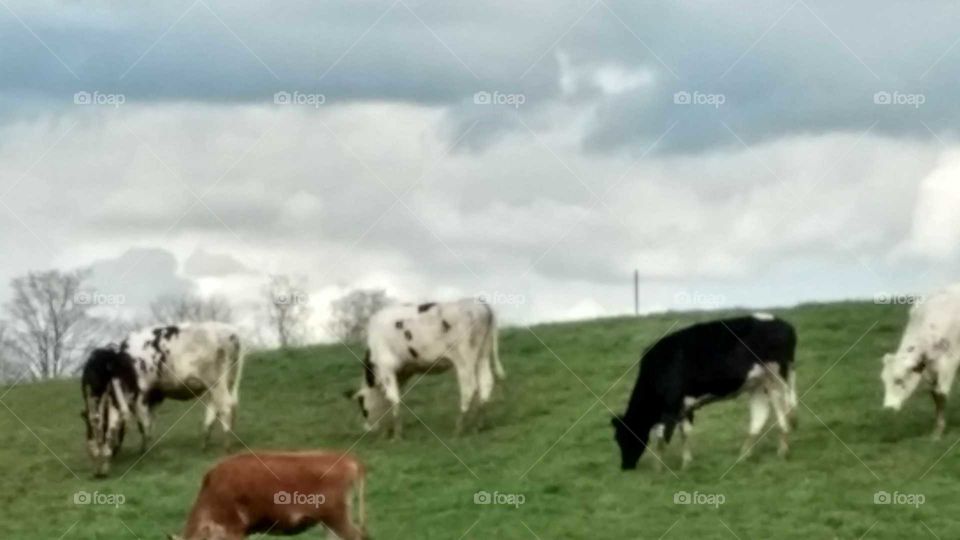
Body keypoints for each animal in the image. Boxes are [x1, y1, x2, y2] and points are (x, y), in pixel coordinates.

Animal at [80, 321, 244, 477]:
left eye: (91, 428)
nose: (96, 467)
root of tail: (231, 333)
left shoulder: (140, 395)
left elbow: (141, 424)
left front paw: (143, 452)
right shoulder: (153, 396)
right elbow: (147, 423)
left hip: (216, 381)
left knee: (225, 406)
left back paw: (226, 447)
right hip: (221, 382)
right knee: (216, 408)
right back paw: (205, 443)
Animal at [346, 299, 504, 438]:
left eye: (364, 409)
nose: (368, 429)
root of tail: (479, 304)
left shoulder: (386, 367)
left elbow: (393, 398)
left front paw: (397, 434)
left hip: (464, 359)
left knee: (469, 388)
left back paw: (459, 427)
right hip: (482, 355)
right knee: (486, 383)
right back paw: (479, 424)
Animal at [612, 313, 797, 470]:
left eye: (624, 437)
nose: (625, 467)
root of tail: (786, 325)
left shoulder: (671, 407)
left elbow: (662, 438)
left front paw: (661, 468)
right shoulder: (683, 407)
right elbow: (683, 433)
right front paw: (686, 462)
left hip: (776, 378)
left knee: (784, 412)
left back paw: (782, 451)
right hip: (758, 384)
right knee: (760, 416)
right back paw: (744, 456)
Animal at [881, 285, 960, 439]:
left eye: (899, 380)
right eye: (884, 380)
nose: (887, 409)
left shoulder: (948, 364)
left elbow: (941, 394)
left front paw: (938, 432)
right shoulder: (930, 369)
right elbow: (934, 394)